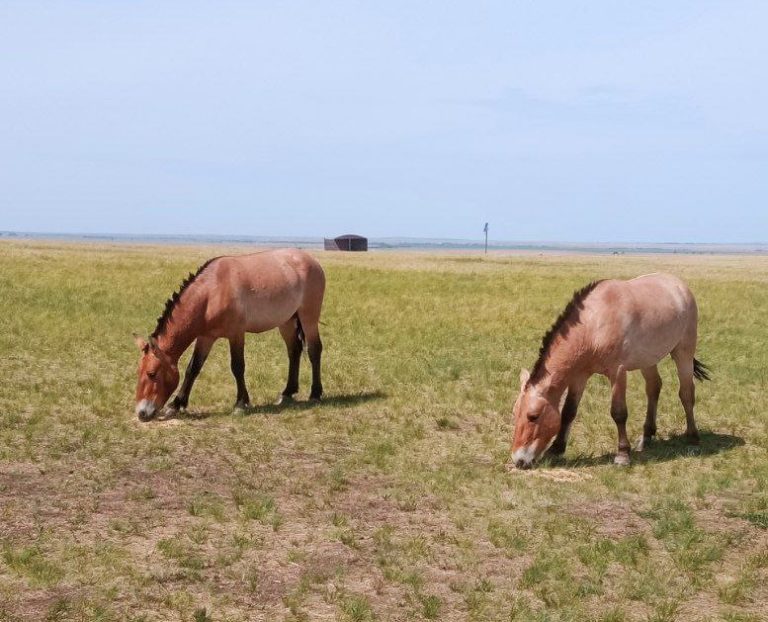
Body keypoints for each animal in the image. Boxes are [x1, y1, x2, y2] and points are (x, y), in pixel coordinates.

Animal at [132, 250, 324, 424]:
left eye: (151, 373)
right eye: (139, 372)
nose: (141, 413)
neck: (211, 293)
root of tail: (311, 260)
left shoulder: (236, 334)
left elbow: (237, 367)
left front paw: (240, 404)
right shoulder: (205, 337)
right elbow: (193, 368)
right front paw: (176, 405)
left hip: (308, 318)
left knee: (314, 350)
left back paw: (315, 393)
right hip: (286, 321)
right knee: (294, 351)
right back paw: (287, 393)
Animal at [512, 276, 712, 470]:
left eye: (533, 416)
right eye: (515, 413)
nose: (518, 460)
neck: (594, 325)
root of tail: (679, 284)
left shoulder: (618, 373)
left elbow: (619, 413)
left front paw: (622, 455)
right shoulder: (579, 376)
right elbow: (569, 411)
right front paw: (556, 449)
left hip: (683, 352)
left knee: (686, 393)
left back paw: (693, 438)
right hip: (648, 360)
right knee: (654, 388)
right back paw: (646, 437)